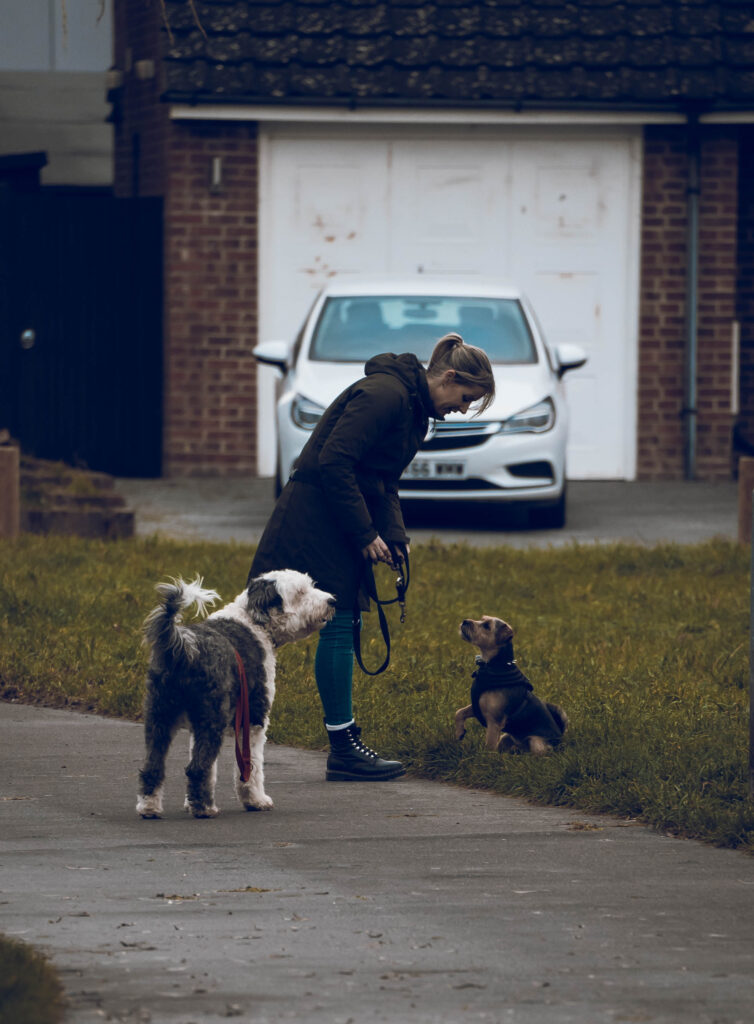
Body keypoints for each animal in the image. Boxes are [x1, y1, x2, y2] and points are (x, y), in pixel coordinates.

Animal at [136, 569, 336, 815]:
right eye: (300, 592)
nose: (332, 601)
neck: (255, 623)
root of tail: (184, 648)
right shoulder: (253, 719)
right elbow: (251, 767)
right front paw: (256, 800)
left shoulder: (196, 725)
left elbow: (212, 768)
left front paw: (189, 802)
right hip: (212, 716)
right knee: (196, 767)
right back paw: (204, 809)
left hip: (160, 714)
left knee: (152, 767)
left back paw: (150, 807)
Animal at [452, 610, 565, 757]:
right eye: (481, 619)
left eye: (486, 626)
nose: (465, 621)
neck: (493, 665)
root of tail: (561, 741)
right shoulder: (478, 707)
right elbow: (459, 712)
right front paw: (459, 732)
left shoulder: (494, 721)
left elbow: (489, 745)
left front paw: (484, 758)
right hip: (505, 737)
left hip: (536, 742)